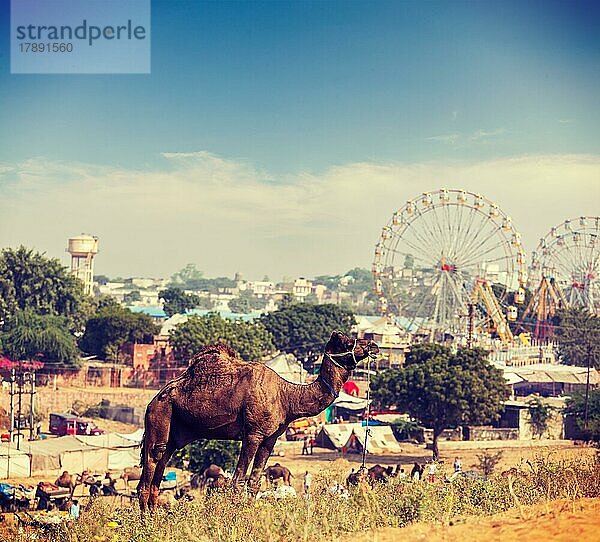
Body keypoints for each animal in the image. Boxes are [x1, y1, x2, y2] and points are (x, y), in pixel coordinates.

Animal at [138, 332, 378, 516]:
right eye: (347, 341)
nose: (373, 346)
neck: (287, 397)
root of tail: (151, 402)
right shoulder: (253, 434)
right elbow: (238, 480)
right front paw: (234, 520)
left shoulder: (270, 438)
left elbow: (254, 482)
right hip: (159, 417)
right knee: (150, 469)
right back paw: (146, 525)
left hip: (173, 435)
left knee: (158, 471)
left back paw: (154, 519)